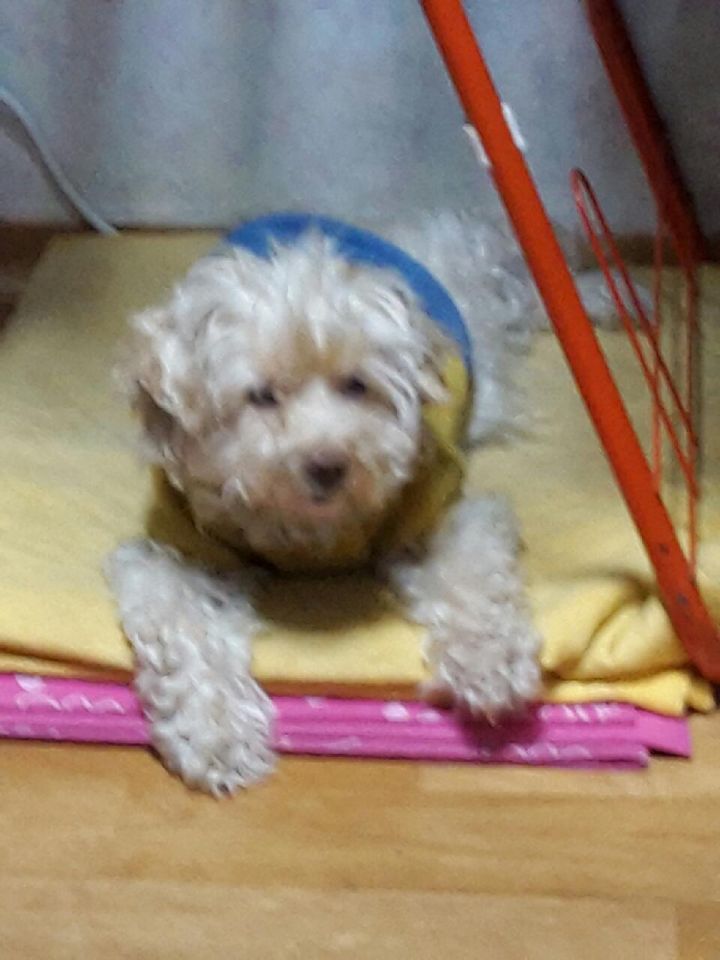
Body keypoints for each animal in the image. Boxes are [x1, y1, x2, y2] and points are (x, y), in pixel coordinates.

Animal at [105, 210, 615, 794]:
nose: (328, 464)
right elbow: (184, 631)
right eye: (260, 396)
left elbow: (473, 578)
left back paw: (601, 293)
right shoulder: (175, 548)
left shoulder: (439, 506)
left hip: (486, 297)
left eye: (357, 385)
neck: (310, 530)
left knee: (528, 285)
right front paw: (215, 734)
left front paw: (490, 664)